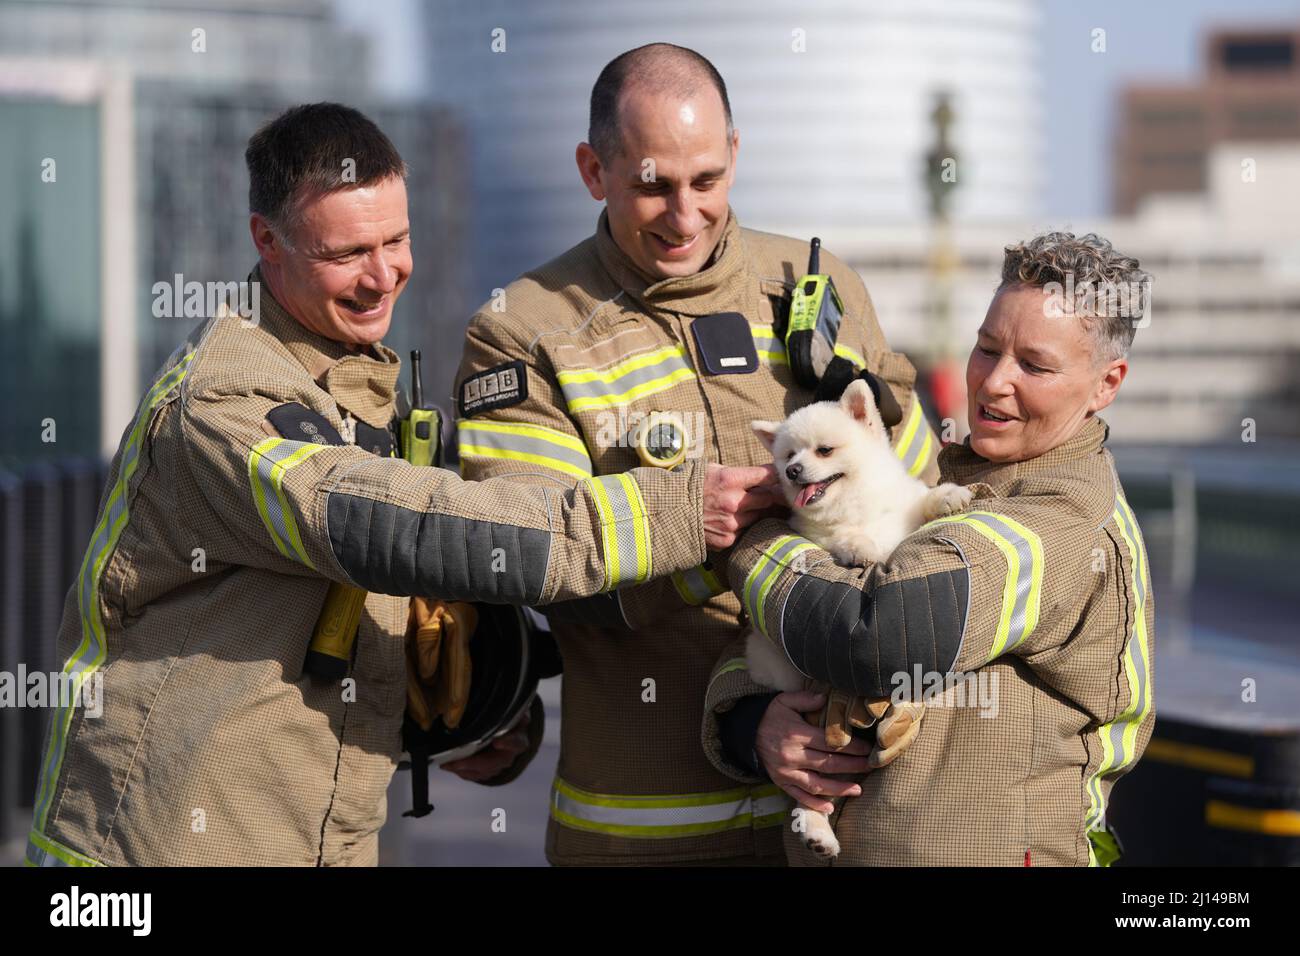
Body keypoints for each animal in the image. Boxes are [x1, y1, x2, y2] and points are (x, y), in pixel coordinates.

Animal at [748, 379, 972, 858]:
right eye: (787, 455)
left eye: (824, 450)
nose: (793, 471)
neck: (857, 504)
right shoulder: (819, 537)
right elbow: (843, 541)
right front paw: (859, 545)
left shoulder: (903, 513)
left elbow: (920, 503)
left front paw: (948, 495)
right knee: (811, 789)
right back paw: (816, 830)